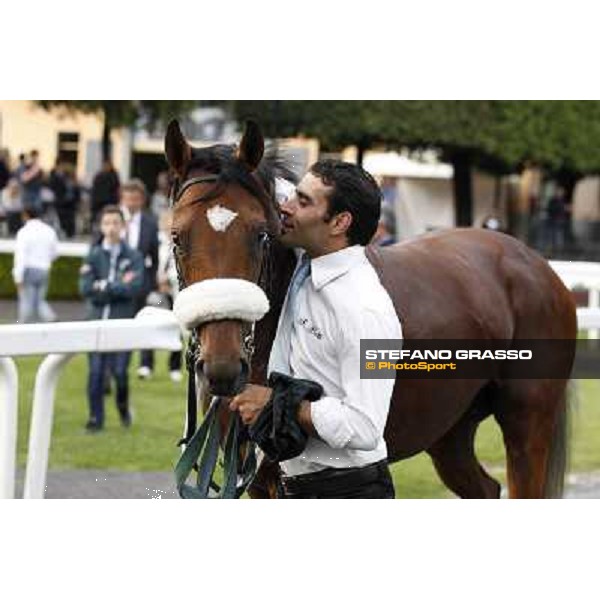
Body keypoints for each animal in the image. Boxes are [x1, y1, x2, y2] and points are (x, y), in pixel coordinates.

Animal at [165, 119, 576, 500]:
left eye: (262, 235)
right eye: (176, 237)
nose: (222, 368)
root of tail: (535, 263)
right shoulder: (257, 481)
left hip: (528, 423)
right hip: (449, 429)